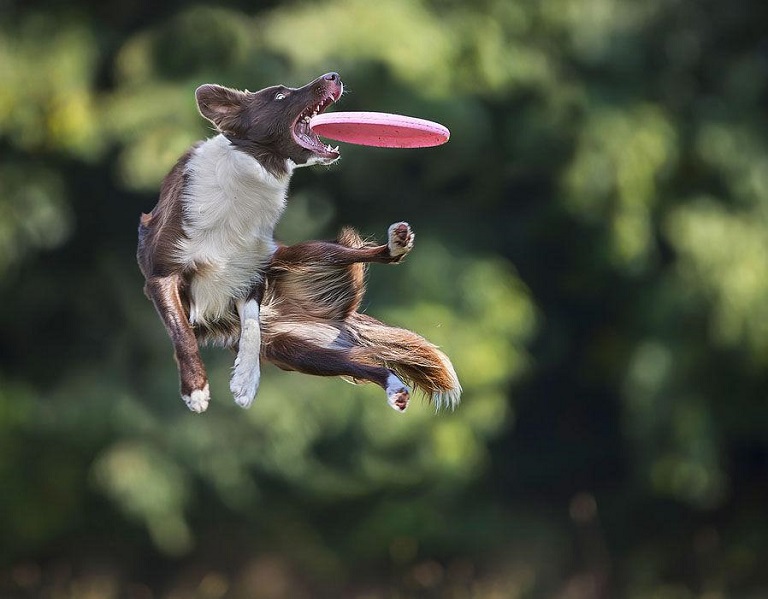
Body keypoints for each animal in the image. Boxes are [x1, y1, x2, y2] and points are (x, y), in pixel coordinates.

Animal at [137, 71, 460, 412]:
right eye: (279, 97)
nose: (333, 75)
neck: (249, 177)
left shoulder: (252, 273)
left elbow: (251, 327)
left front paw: (246, 380)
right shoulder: (162, 275)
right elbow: (182, 332)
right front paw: (196, 389)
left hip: (299, 267)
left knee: (350, 266)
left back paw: (395, 247)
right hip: (297, 349)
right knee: (361, 361)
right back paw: (394, 386)